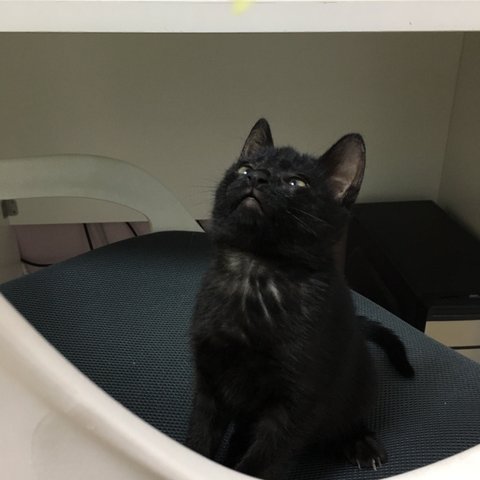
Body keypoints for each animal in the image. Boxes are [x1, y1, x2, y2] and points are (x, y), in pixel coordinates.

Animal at [186, 119, 414, 480]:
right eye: (244, 168)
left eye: (297, 183)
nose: (256, 177)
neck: (254, 275)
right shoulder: (209, 385)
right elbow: (197, 442)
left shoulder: (298, 404)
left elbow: (262, 462)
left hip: (359, 379)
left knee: (347, 415)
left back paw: (360, 440)